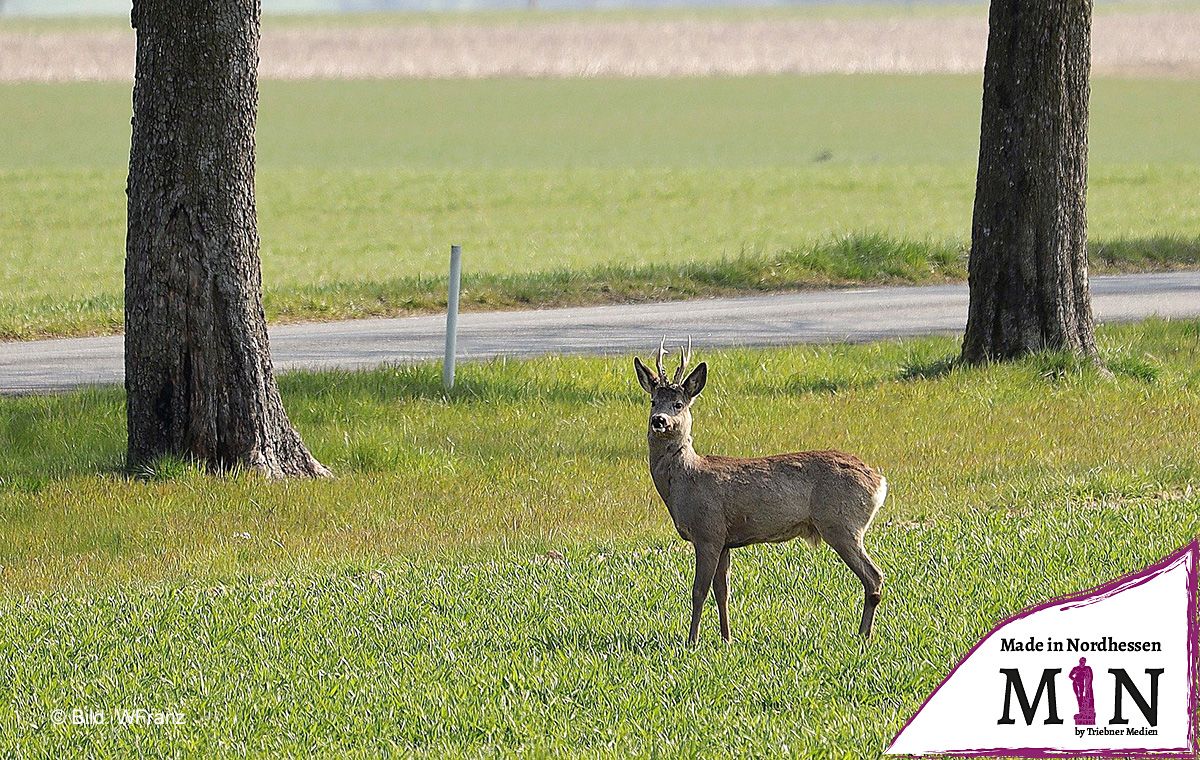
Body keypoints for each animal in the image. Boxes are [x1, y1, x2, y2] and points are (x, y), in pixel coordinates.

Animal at [633, 340, 888, 643]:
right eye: (653, 401)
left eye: (678, 403)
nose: (659, 420)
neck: (685, 481)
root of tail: (879, 482)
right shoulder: (725, 540)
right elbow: (723, 591)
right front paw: (727, 638)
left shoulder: (708, 531)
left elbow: (698, 591)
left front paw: (692, 641)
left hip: (841, 524)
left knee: (874, 576)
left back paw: (863, 635)